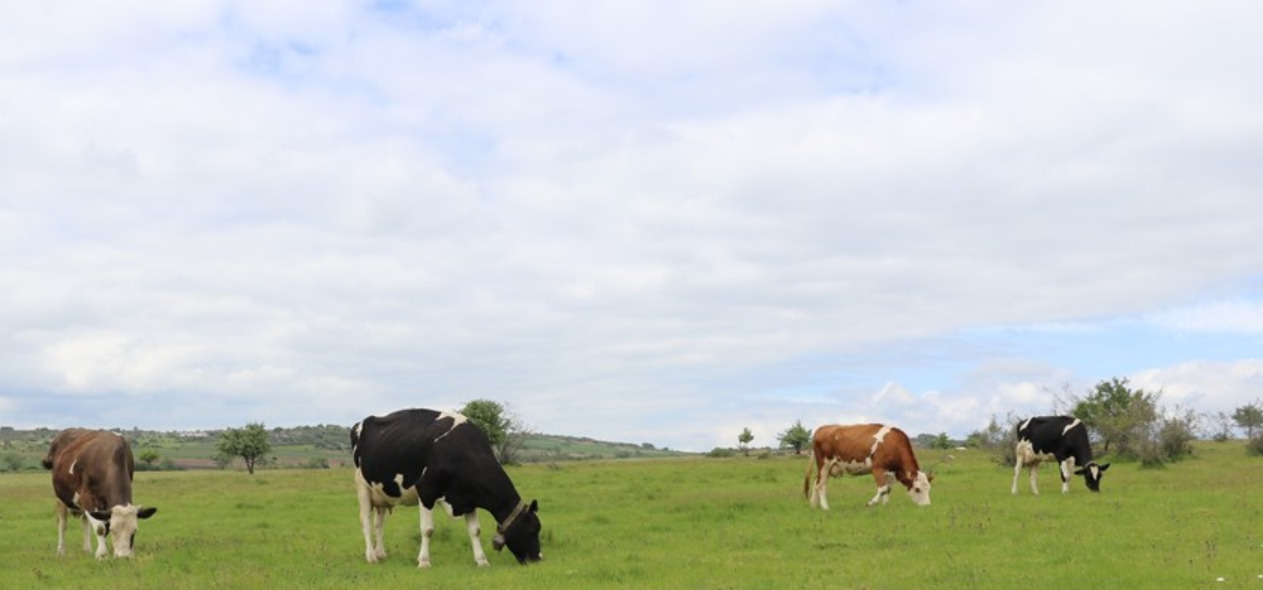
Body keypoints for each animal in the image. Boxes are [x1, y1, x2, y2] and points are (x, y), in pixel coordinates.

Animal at [41, 429, 157, 558]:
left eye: (134, 531)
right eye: (113, 530)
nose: (123, 557)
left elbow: (102, 525)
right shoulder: (87, 496)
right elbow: (101, 528)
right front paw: (102, 554)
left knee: (84, 522)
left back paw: (86, 550)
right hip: (61, 497)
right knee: (62, 523)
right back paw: (61, 551)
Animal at [351, 406, 543, 568]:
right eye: (533, 530)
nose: (537, 559)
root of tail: (363, 421)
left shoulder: (468, 498)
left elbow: (475, 530)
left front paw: (481, 561)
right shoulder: (426, 491)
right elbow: (427, 530)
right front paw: (423, 562)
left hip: (382, 492)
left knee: (379, 524)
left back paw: (381, 554)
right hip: (362, 486)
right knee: (365, 521)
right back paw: (371, 556)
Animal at [803, 421, 934, 510]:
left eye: (929, 488)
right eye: (917, 489)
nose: (927, 506)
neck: (894, 444)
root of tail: (821, 429)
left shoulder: (890, 473)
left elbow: (888, 489)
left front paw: (885, 507)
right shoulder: (877, 468)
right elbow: (882, 488)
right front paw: (870, 503)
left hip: (827, 467)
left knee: (816, 481)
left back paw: (813, 505)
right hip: (824, 464)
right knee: (821, 485)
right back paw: (826, 507)